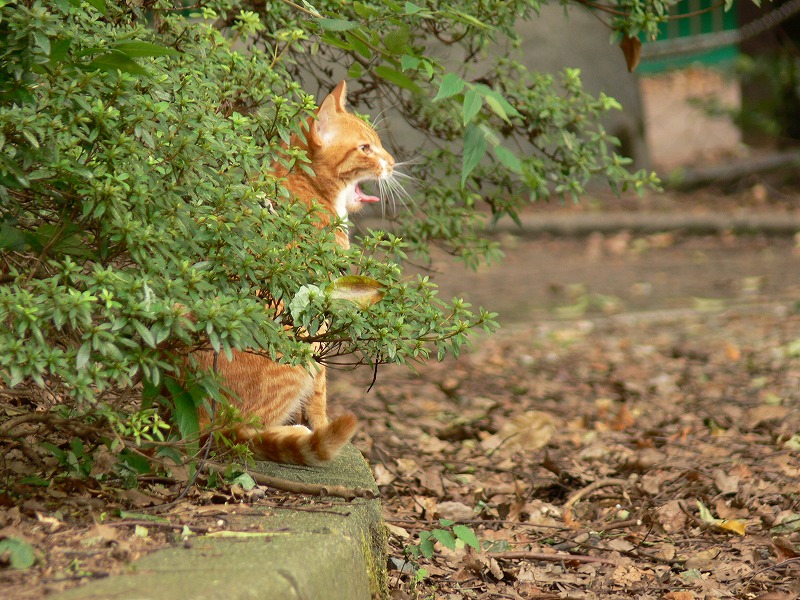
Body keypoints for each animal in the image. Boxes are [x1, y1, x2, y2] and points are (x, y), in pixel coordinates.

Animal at [194, 81, 394, 464]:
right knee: (237, 433)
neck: (308, 186)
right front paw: (320, 422)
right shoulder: (322, 302)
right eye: (365, 148)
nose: (392, 163)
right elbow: (321, 382)